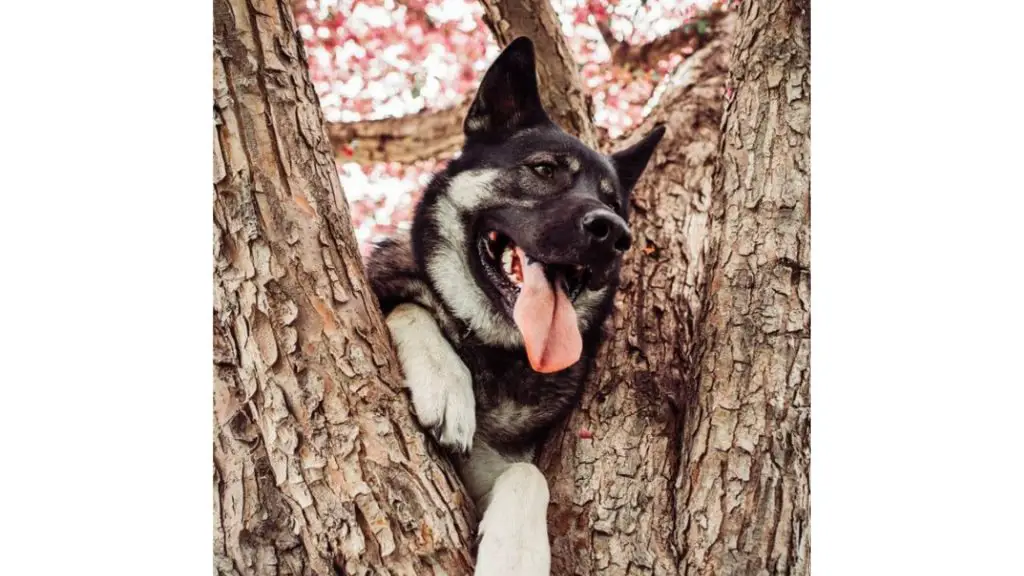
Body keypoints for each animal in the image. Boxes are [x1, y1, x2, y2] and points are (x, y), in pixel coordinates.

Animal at [366, 36, 663, 573]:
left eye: (615, 203)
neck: (490, 349)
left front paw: (516, 552)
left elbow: (529, 477)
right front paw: (445, 381)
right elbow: (410, 307)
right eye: (544, 169)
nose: (614, 233)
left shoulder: (494, 467)